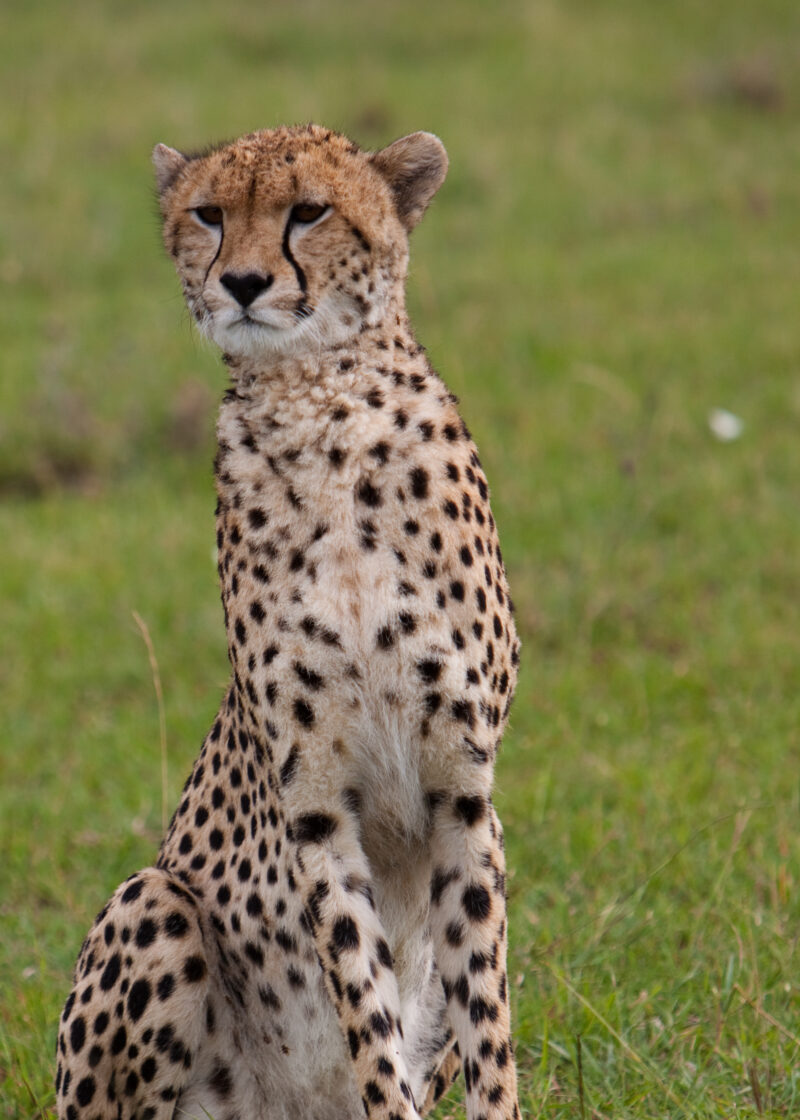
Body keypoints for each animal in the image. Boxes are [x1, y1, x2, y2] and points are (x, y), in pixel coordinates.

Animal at [56, 123, 522, 1120]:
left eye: (308, 211)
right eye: (207, 214)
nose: (241, 281)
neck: (321, 411)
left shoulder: (465, 792)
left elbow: (485, 1018)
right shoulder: (315, 803)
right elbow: (366, 1012)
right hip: (152, 901)